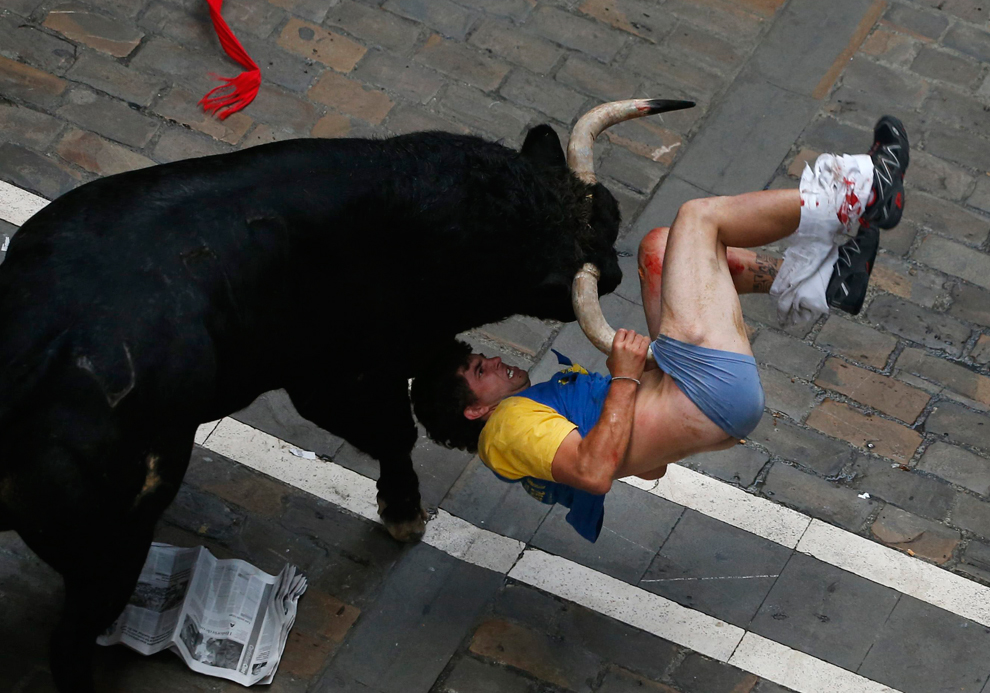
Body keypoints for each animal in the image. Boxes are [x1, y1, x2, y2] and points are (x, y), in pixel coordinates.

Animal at [0, 127, 624, 688]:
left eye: (609, 214)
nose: (616, 274)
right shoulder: (337, 378)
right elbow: (393, 433)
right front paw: (403, 513)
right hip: (112, 547)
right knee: (69, 642)